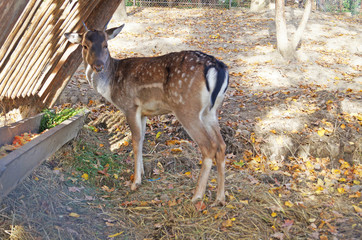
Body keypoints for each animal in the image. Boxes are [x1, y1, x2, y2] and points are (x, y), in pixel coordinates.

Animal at [64, 23, 229, 204]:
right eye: (85, 46)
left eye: (105, 45)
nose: (98, 66)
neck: (111, 86)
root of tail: (218, 68)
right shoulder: (144, 112)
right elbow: (142, 138)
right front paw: (142, 172)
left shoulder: (130, 106)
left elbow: (135, 140)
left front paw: (135, 182)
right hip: (210, 111)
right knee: (221, 145)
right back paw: (220, 199)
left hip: (187, 108)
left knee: (208, 146)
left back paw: (197, 196)